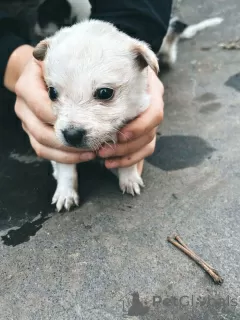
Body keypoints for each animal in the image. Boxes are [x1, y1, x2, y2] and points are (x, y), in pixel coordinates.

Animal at [32, 20, 159, 211]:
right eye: (52, 93)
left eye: (105, 93)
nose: (71, 135)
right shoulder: (61, 147)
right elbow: (66, 170)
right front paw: (65, 193)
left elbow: (128, 160)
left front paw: (129, 179)